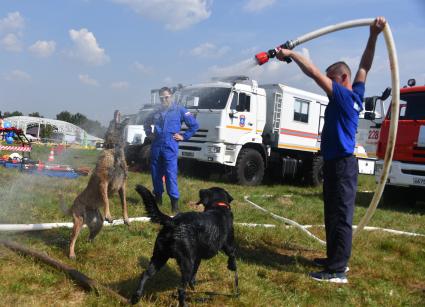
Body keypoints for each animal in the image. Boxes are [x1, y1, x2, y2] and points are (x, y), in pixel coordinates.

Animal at [66, 111, 127, 260]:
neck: (114, 150)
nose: (117, 110)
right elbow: (106, 201)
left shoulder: (122, 186)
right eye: (112, 120)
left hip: (98, 223)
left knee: (90, 236)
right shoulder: (103, 183)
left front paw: (126, 219)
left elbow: (124, 203)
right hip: (78, 221)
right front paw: (109, 215)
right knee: (72, 239)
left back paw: (90, 245)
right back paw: (72, 254)